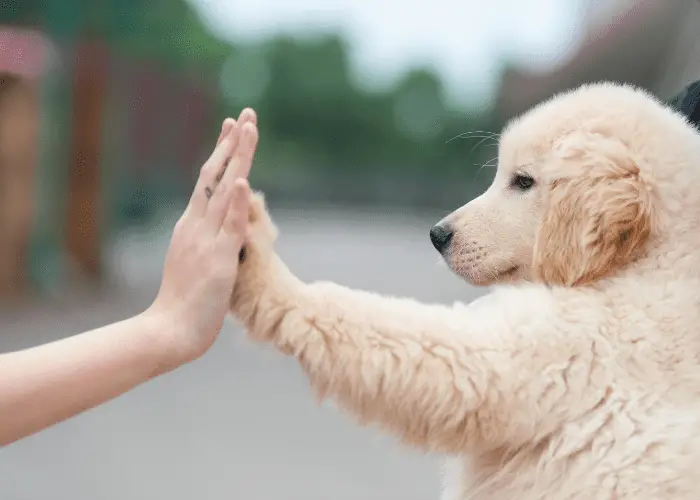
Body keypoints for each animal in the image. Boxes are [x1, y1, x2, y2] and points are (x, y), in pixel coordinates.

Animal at [231, 83, 700, 500]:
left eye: (523, 181)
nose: (438, 235)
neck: (647, 261)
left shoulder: (561, 351)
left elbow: (407, 340)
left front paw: (260, 268)